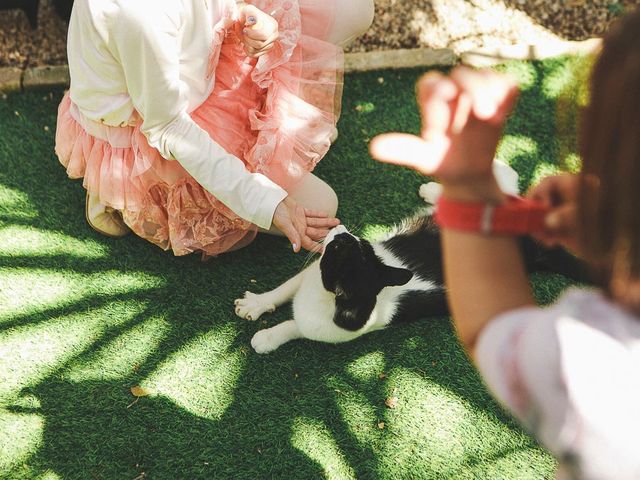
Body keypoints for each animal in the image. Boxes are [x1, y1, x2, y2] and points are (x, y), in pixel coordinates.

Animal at [234, 165, 584, 352]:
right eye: (358, 243)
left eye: (339, 250)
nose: (341, 229)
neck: (323, 297)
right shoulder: (306, 277)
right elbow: (282, 290)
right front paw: (256, 304)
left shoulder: (329, 324)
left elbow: (294, 326)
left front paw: (267, 337)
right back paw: (436, 191)